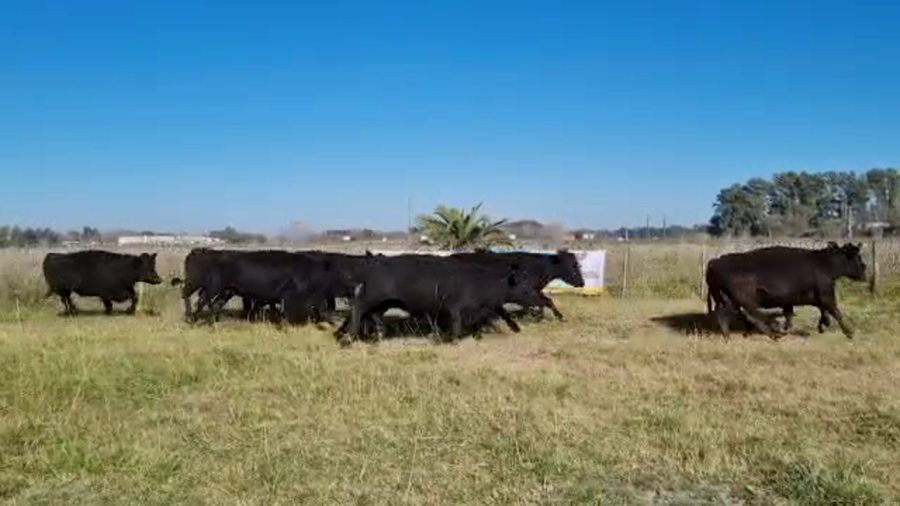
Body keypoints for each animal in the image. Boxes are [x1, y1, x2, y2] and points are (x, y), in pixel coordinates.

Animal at [449, 249, 585, 320]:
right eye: (573, 267)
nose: (582, 283)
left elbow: (545, 301)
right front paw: (558, 316)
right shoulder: (527, 293)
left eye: (577, 265)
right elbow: (544, 302)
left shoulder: (535, 291)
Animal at [706, 242, 867, 340]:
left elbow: (794, 315)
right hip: (745, 300)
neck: (824, 264)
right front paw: (849, 333)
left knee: (725, 316)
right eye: (857, 257)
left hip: (726, 300)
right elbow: (836, 312)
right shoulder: (826, 295)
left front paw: (822, 325)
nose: (864, 268)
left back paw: (729, 336)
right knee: (752, 316)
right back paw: (774, 334)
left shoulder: (797, 300)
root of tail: (715, 262)